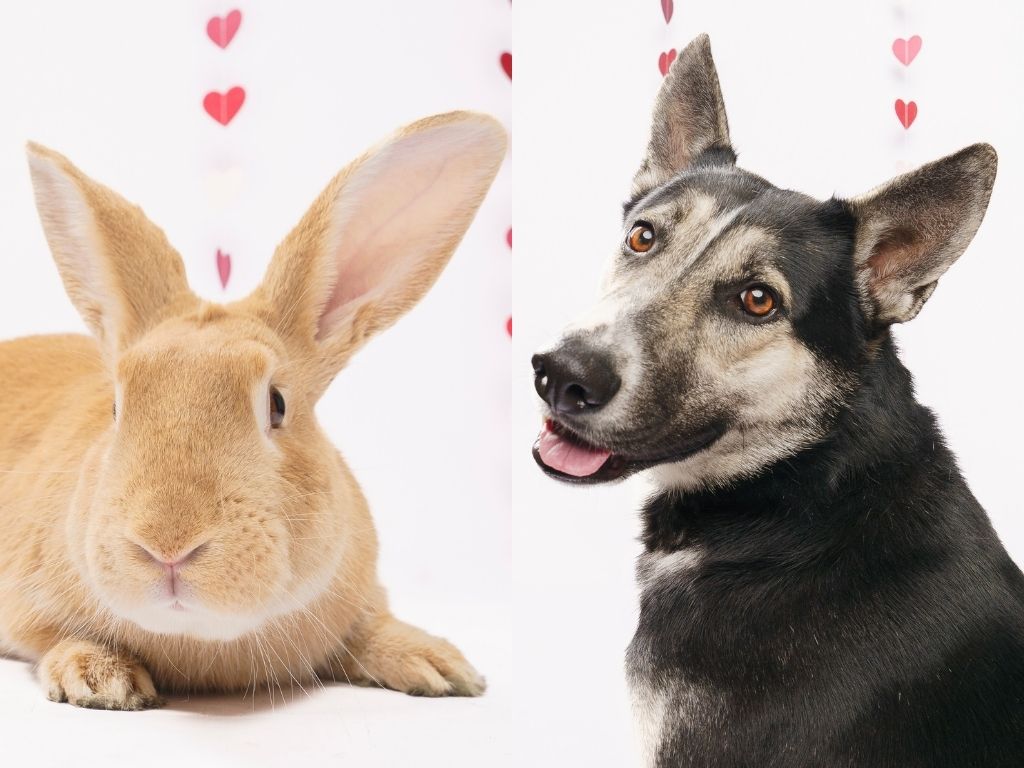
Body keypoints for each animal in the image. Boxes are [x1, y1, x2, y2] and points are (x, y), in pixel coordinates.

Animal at [0, 111, 506, 710]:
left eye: (277, 404)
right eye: (117, 407)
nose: (167, 546)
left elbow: (369, 628)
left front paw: (439, 664)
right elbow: (55, 636)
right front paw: (100, 678)